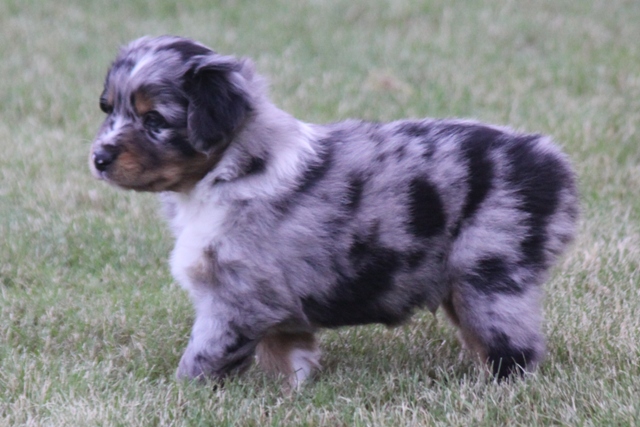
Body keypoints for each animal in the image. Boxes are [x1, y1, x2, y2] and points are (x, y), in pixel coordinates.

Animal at [89, 36, 579, 388]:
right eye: (108, 109)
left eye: (155, 121)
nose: (98, 158)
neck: (224, 173)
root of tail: (552, 161)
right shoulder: (272, 305)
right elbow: (287, 354)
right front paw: (292, 391)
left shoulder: (235, 299)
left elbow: (200, 361)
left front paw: (181, 394)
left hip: (489, 273)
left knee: (513, 348)